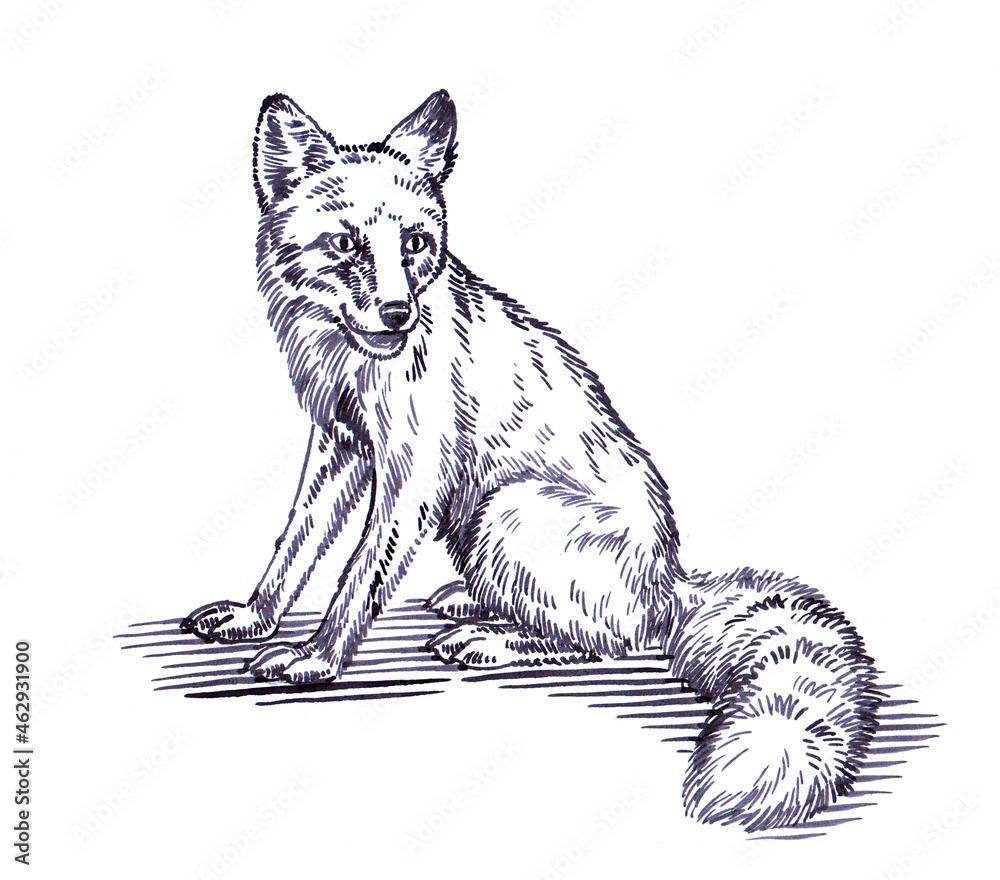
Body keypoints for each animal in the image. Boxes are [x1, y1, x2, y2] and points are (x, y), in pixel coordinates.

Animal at [182, 90, 879, 832]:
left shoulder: (410, 477)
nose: (398, 314)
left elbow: (356, 582)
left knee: (607, 642)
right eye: (346, 244)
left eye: (415, 244)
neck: (350, 361)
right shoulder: (337, 445)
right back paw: (473, 605)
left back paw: (493, 639)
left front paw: (316, 659)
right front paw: (253, 618)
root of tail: (670, 583)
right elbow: (293, 551)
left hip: (506, 511)